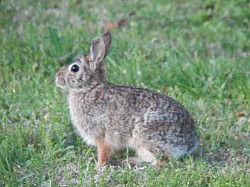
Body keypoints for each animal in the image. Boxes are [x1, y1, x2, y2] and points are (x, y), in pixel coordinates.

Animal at [55, 32, 199, 167]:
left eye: (74, 68)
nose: (57, 77)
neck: (90, 88)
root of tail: (190, 142)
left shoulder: (102, 136)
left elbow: (103, 153)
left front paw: (98, 167)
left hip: (146, 138)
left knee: (162, 160)